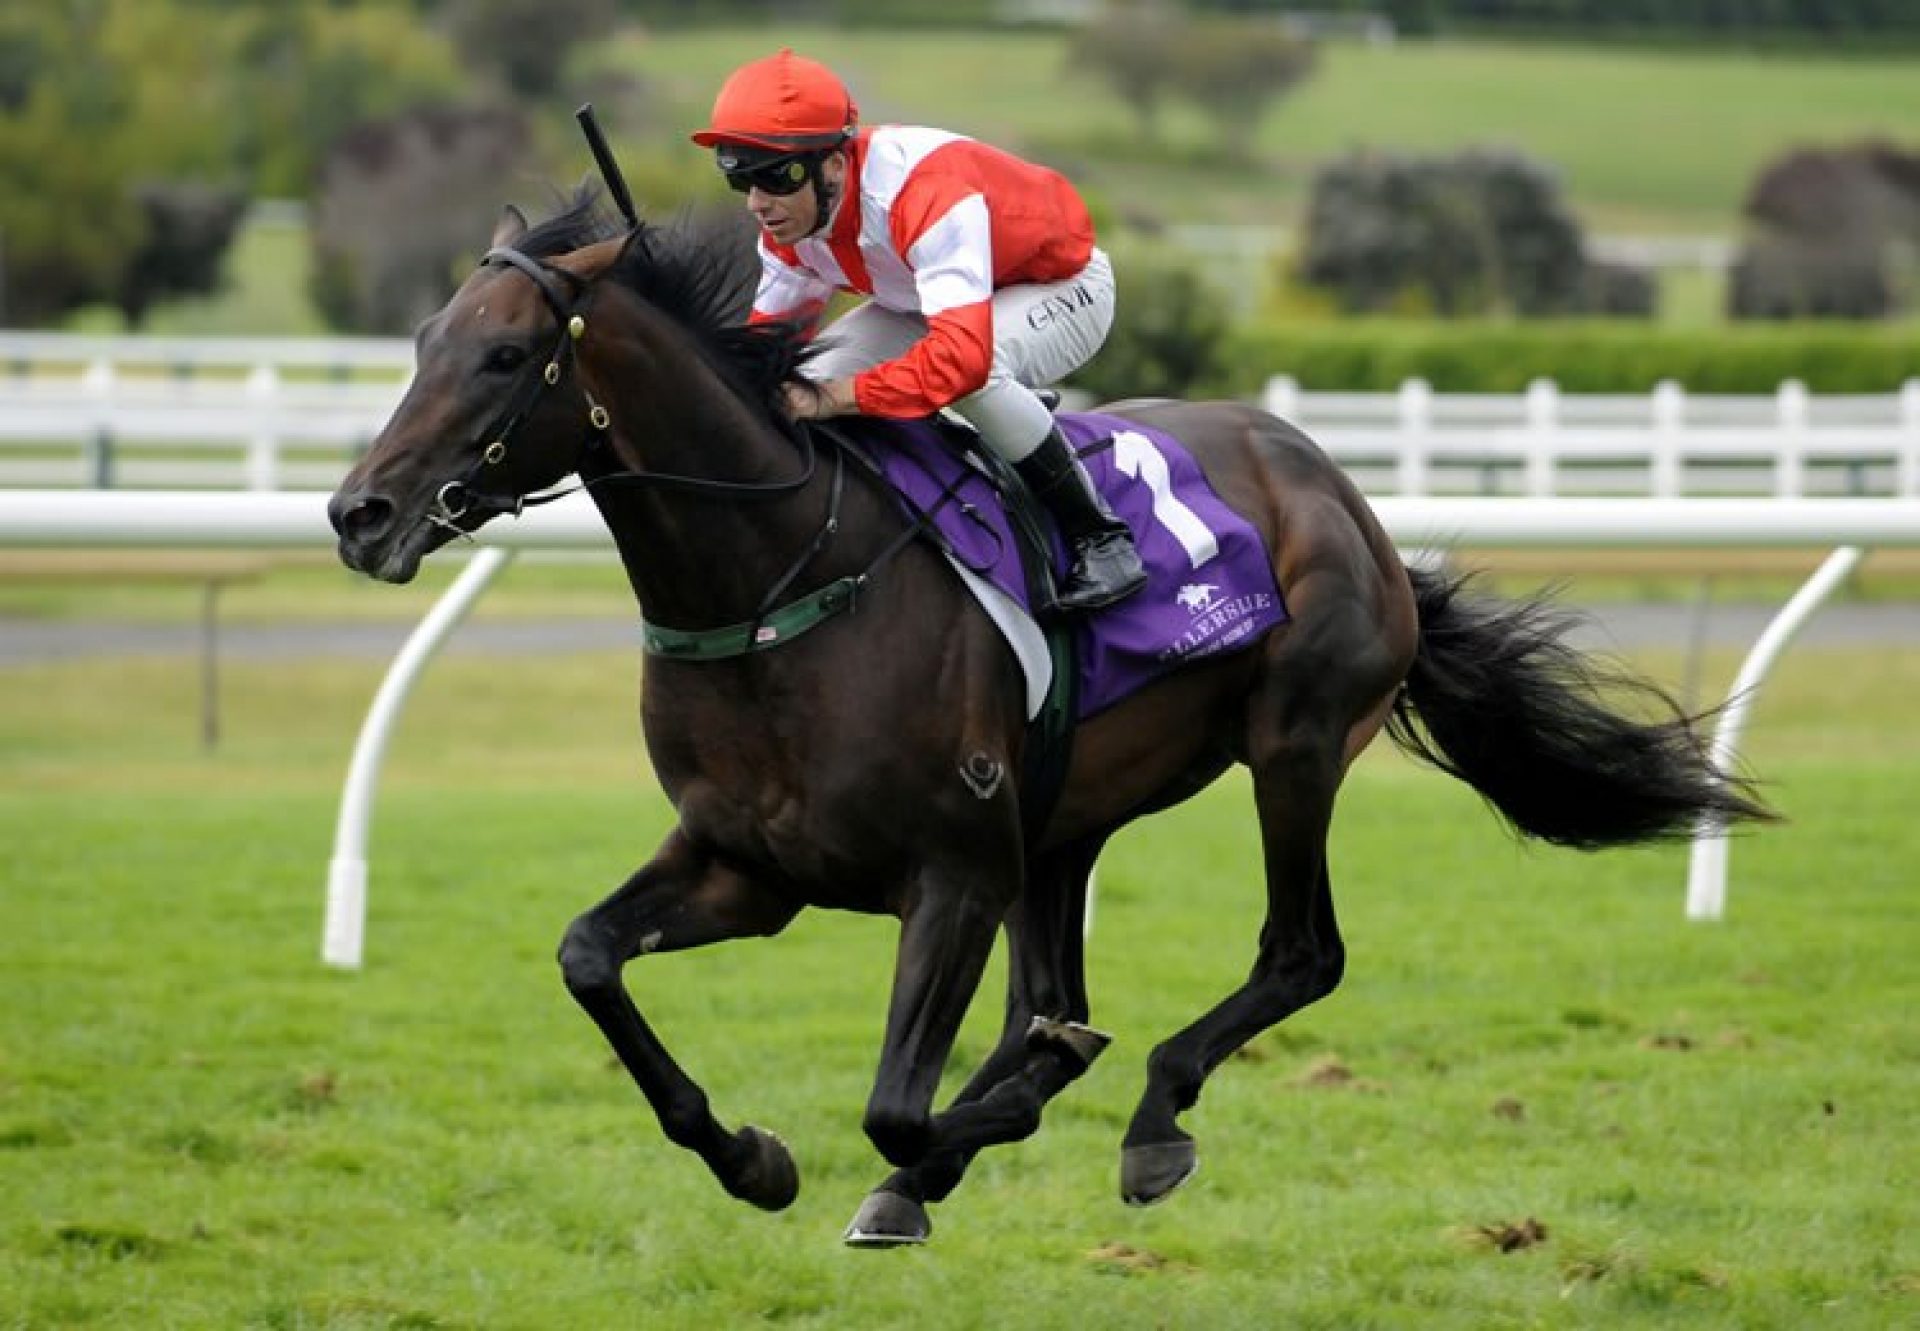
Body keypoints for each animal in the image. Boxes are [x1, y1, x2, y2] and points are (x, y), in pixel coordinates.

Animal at [326, 194, 1766, 1244]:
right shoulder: (750, 865)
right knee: (1059, 989)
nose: (359, 511)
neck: (779, 586)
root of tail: (1339, 492)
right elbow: (588, 957)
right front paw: (752, 1156)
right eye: (419, 343)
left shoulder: (951, 871)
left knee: (1299, 953)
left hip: (1293, 746)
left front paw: (971, 1125)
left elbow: (903, 1106)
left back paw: (1152, 1116)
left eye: (506, 355)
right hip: (1063, 824)